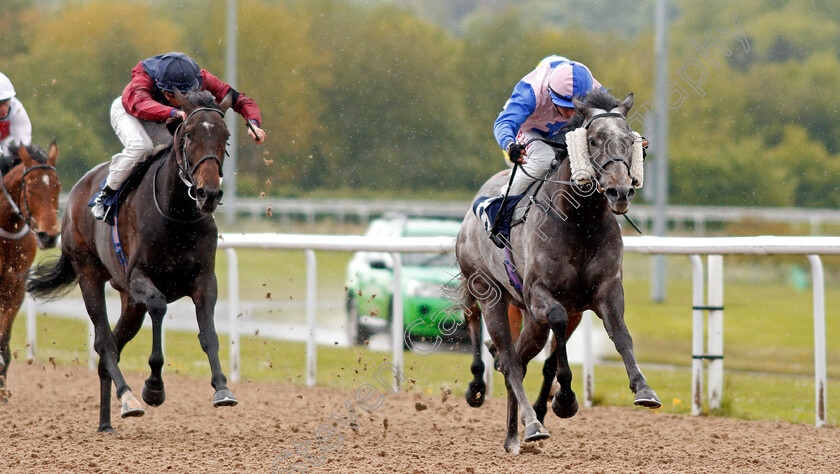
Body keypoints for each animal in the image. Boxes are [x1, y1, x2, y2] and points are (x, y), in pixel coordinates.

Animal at [27, 90, 236, 432]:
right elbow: (159, 306)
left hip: (129, 303)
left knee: (111, 345)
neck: (177, 215)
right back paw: (128, 398)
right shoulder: (138, 278)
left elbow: (209, 333)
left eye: (225, 136)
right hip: (89, 273)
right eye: (189, 135)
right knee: (104, 342)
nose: (209, 194)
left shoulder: (205, 280)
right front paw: (153, 388)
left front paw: (222, 387)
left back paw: (105, 423)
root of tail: (75, 192)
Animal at [456, 90, 660, 454]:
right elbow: (558, 327)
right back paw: (522, 419)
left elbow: (619, 333)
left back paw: (514, 435)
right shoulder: (541, 294)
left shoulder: (603, 290)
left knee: (517, 360)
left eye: (630, 140)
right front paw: (564, 399)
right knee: (505, 356)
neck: (579, 223)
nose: (620, 191)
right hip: (489, 293)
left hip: (530, 318)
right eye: (593, 140)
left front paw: (643, 388)